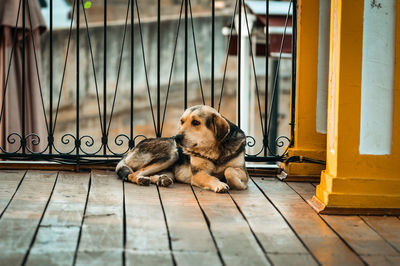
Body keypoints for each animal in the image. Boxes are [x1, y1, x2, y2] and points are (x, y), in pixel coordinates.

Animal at [114, 104, 248, 193]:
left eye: (196, 122)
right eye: (182, 122)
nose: (176, 137)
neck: (214, 151)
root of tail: (131, 150)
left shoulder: (242, 171)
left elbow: (229, 170)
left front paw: (238, 184)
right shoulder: (198, 174)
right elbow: (214, 176)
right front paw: (220, 184)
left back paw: (161, 179)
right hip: (172, 154)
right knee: (133, 174)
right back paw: (141, 179)